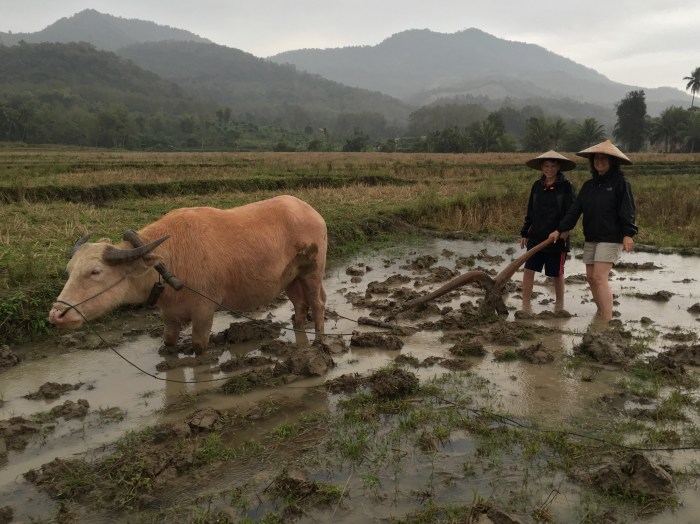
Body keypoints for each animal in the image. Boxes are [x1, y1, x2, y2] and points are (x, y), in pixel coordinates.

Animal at [49, 195, 327, 354]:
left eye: (95, 271)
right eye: (69, 271)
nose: (57, 314)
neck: (171, 261)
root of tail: (313, 213)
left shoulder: (204, 311)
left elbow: (198, 347)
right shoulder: (169, 316)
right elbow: (169, 343)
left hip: (314, 272)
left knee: (317, 302)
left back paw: (319, 341)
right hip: (291, 278)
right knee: (300, 304)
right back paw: (299, 329)